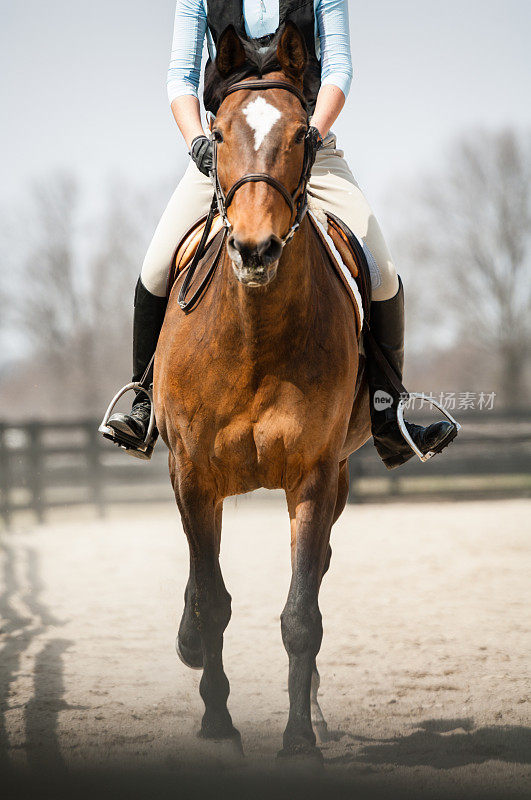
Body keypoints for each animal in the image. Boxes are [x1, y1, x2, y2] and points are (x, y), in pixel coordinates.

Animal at [154, 26, 370, 764]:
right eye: (216, 135)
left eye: (304, 134)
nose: (254, 250)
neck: (253, 333)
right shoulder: (192, 474)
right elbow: (213, 598)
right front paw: (218, 723)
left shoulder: (312, 477)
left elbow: (302, 613)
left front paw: (300, 739)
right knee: (204, 577)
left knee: (318, 572)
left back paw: (318, 717)